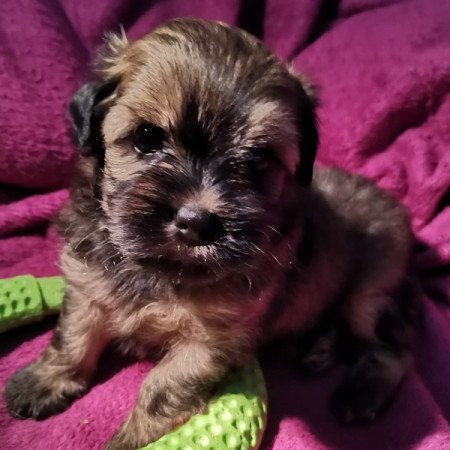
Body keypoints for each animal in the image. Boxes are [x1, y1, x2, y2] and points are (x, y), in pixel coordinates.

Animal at [3, 18, 420, 450]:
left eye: (259, 160)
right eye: (146, 138)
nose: (198, 222)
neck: (159, 267)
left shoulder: (208, 340)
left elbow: (161, 389)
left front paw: (131, 440)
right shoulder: (87, 286)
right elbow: (72, 337)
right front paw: (45, 381)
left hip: (369, 294)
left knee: (395, 348)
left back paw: (360, 391)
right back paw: (319, 348)